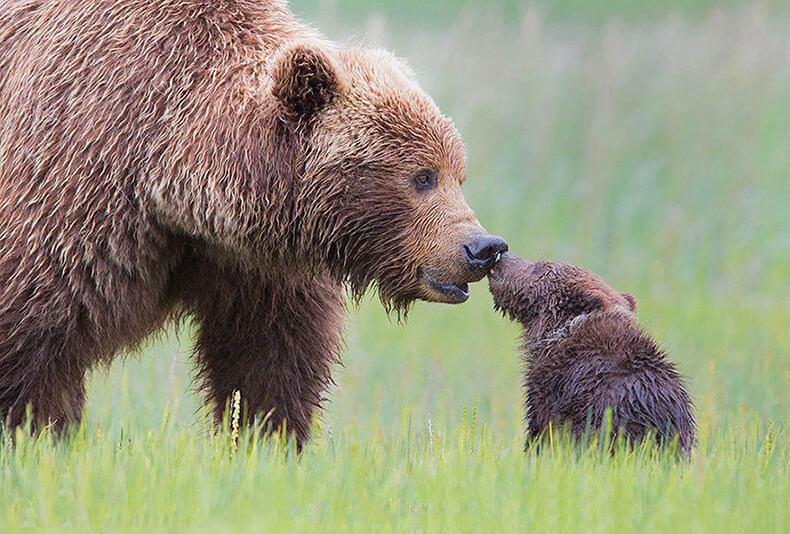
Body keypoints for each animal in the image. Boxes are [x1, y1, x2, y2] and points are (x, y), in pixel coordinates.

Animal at [0, 0, 508, 444]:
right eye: (423, 176)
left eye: (458, 173)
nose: (483, 247)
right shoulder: (75, 186)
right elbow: (33, 338)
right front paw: (36, 434)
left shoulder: (256, 264)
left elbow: (269, 359)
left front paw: (266, 441)